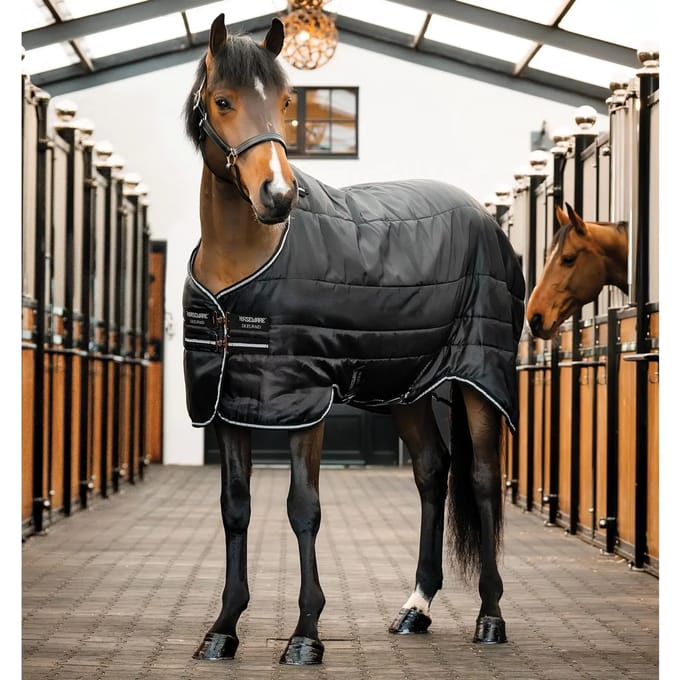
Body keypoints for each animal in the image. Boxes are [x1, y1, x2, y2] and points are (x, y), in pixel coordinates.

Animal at [181, 14, 525, 665]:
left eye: (287, 102)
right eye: (223, 101)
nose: (277, 196)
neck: (244, 265)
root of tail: (480, 212)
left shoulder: (306, 402)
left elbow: (303, 509)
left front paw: (305, 635)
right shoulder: (229, 403)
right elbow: (235, 509)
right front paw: (223, 628)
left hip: (478, 379)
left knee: (483, 481)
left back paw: (492, 617)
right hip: (408, 387)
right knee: (432, 471)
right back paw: (416, 608)